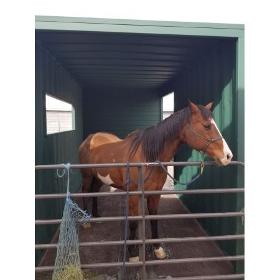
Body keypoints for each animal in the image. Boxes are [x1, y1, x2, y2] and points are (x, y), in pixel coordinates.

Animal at [79, 101, 232, 262]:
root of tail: (89, 139)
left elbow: (154, 218)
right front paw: (133, 253)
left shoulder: (155, 194)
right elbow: (133, 223)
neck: (148, 157)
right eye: (207, 126)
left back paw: (96, 215)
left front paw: (158, 249)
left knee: (94, 192)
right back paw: (86, 221)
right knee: (85, 191)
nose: (228, 156)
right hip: (87, 176)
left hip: (98, 177)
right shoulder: (133, 195)